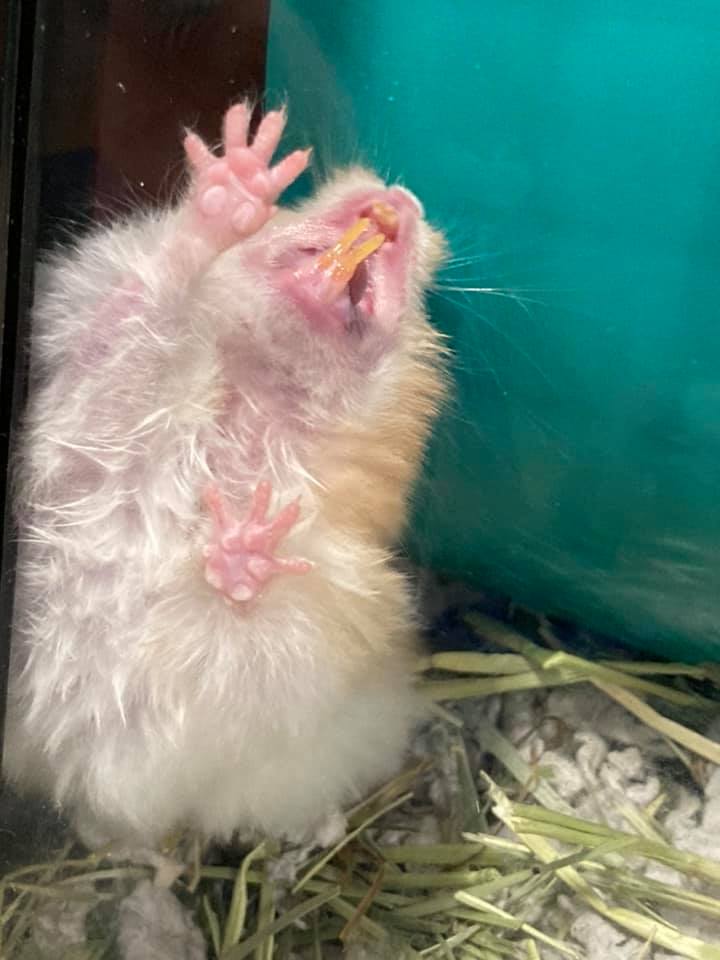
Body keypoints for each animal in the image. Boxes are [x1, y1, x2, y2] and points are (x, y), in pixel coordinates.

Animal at [2, 103, 448, 850]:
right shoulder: (72, 433)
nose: (401, 202)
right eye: (304, 199)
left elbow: (244, 623)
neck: (251, 381)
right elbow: (134, 332)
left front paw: (247, 541)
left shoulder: (333, 617)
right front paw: (242, 176)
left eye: (423, 293)